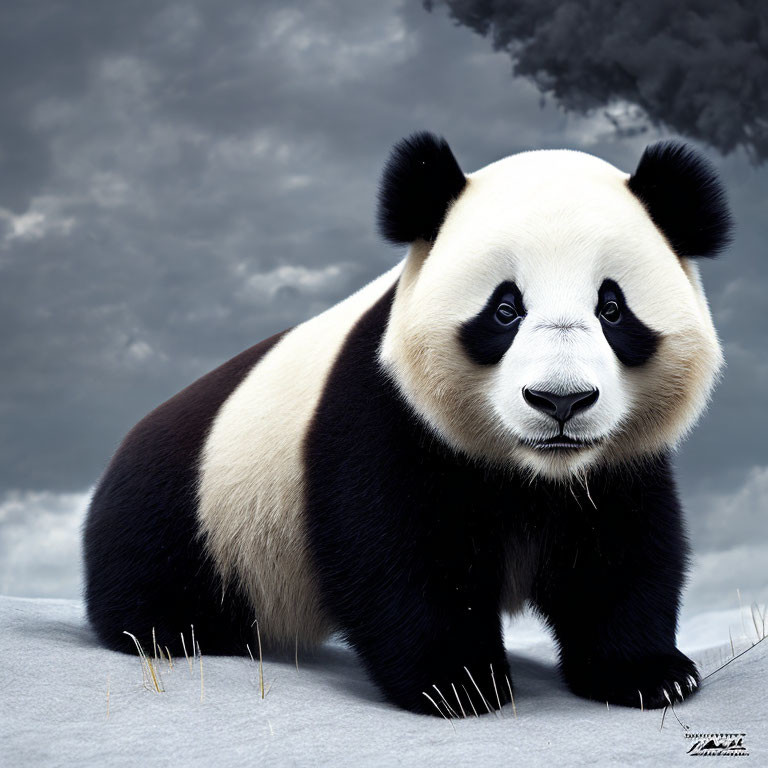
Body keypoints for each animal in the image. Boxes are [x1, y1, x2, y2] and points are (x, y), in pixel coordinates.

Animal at [84, 132, 732, 712]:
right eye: (505, 309)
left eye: (612, 307)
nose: (560, 402)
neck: (535, 472)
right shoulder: (385, 410)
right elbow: (398, 554)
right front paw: (459, 684)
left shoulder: (617, 462)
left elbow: (620, 551)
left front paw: (650, 676)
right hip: (196, 514)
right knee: (155, 580)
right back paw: (176, 631)